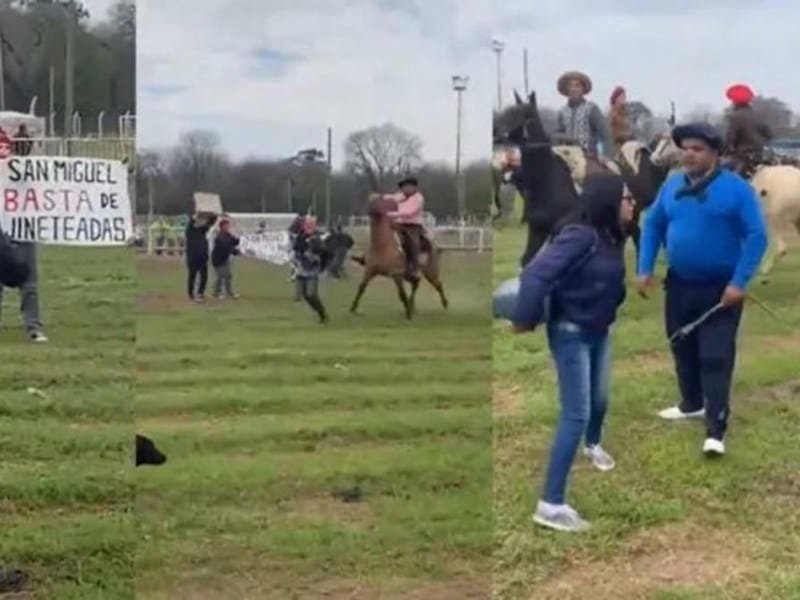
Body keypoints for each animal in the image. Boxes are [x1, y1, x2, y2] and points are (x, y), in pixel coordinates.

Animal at [494, 89, 668, 268]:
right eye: (507, 111)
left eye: (522, 113)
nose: (495, 130)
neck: (548, 178)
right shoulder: (537, 231)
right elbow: (527, 261)